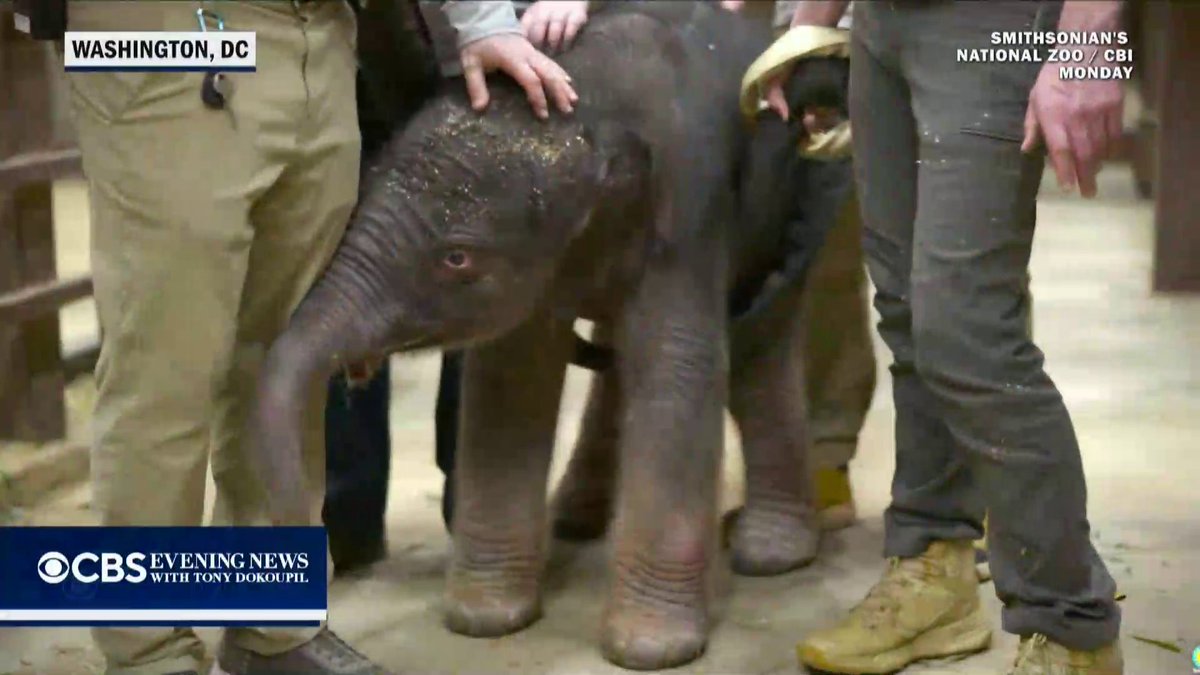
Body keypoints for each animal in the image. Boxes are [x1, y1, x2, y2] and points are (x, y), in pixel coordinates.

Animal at [247, 2, 852, 670]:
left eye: (457, 258)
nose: (324, 554)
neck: (585, 104)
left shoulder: (689, 209)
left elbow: (677, 367)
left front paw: (648, 649)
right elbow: (511, 375)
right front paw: (484, 620)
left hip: (784, 206)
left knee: (757, 349)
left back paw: (771, 554)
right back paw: (573, 520)